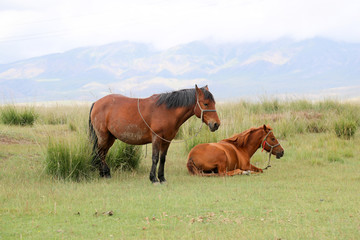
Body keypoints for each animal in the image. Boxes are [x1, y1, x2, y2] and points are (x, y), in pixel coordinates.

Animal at [88, 85, 221, 183]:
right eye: (205, 104)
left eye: (214, 103)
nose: (216, 124)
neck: (167, 111)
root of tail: (96, 103)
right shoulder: (156, 138)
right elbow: (155, 158)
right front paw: (153, 178)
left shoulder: (167, 140)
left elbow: (162, 158)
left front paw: (162, 178)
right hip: (103, 137)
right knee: (100, 153)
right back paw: (106, 174)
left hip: (110, 138)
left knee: (102, 154)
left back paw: (103, 174)